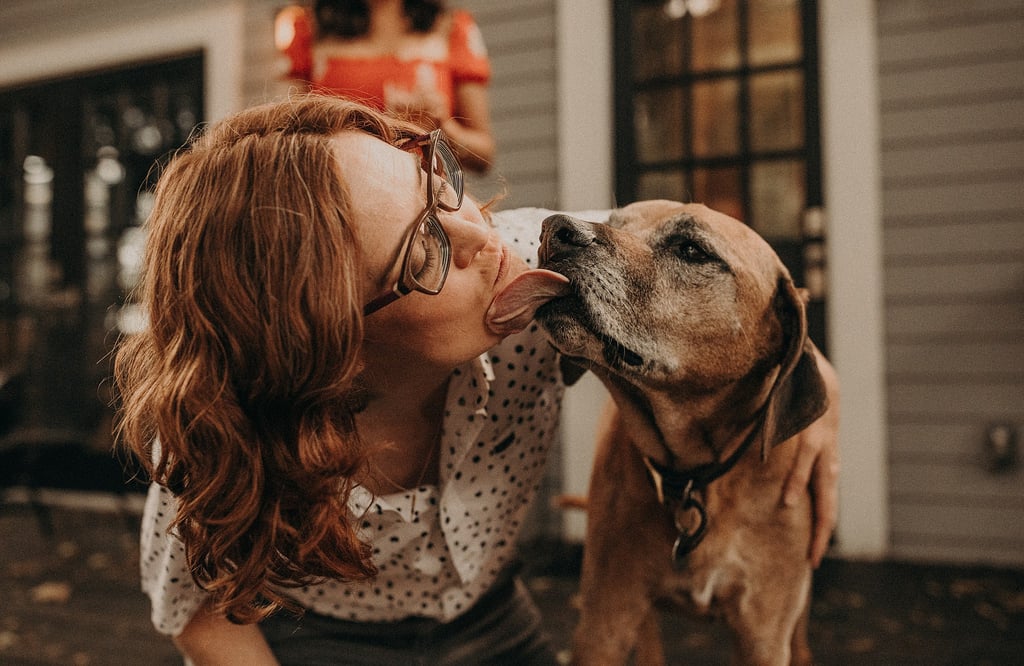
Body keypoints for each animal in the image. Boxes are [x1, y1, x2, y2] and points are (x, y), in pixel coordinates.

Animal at [532, 199, 835, 659]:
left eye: (691, 249)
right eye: (612, 222)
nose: (554, 229)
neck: (698, 476)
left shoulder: (764, 636)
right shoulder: (604, 621)